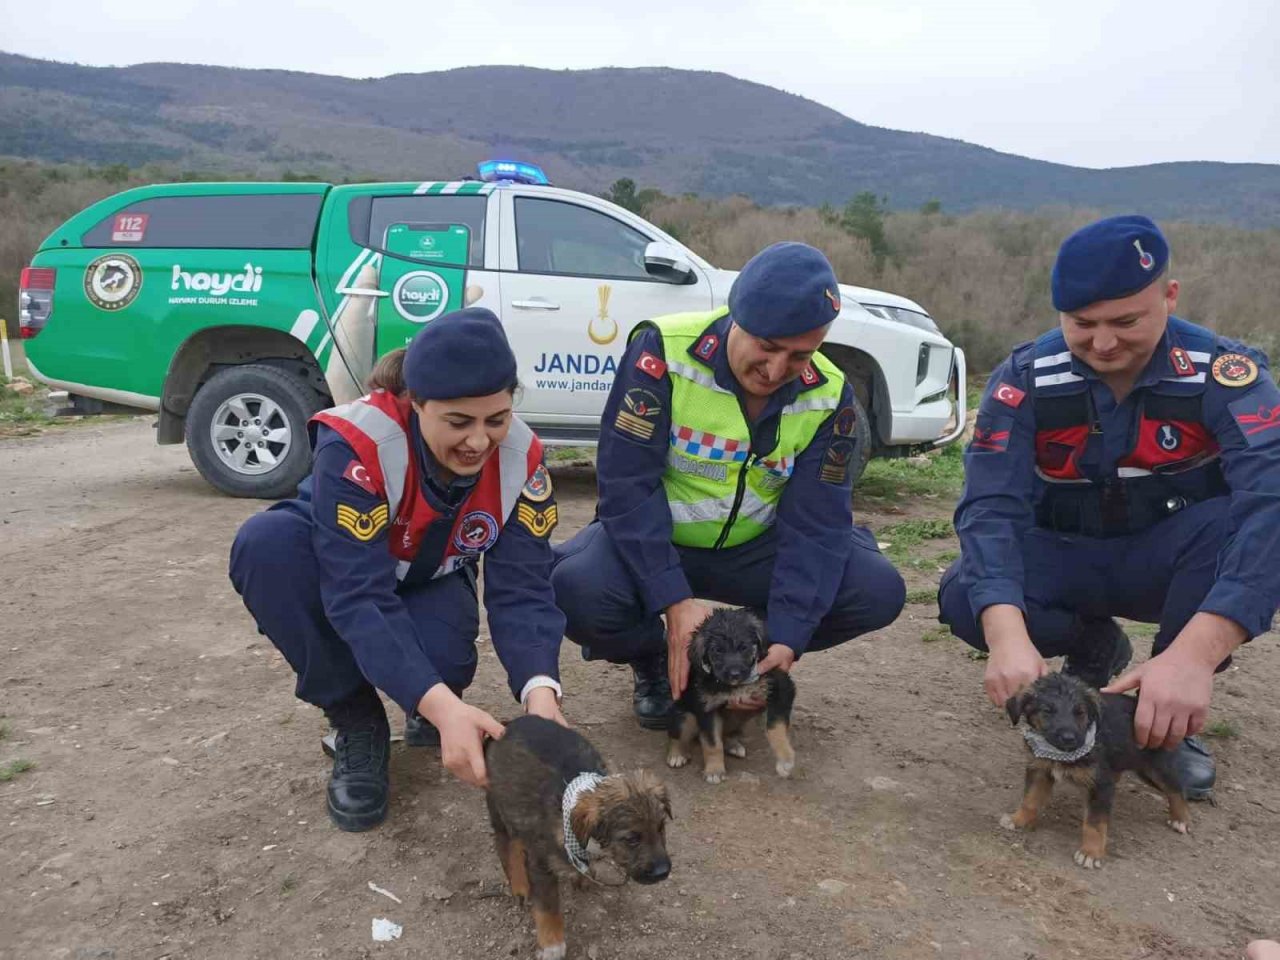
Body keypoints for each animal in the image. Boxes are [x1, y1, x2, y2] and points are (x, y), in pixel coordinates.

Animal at [483, 716, 675, 960]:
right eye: (631, 839)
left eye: (661, 828)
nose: (663, 872)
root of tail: (506, 725)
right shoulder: (541, 863)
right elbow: (547, 908)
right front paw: (552, 945)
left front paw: (583, 876)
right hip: (499, 804)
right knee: (506, 843)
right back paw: (519, 885)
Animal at [665, 611, 793, 783]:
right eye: (717, 650)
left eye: (744, 647)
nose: (734, 674)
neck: (735, 686)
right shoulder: (707, 707)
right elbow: (712, 743)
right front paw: (714, 770)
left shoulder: (781, 688)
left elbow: (775, 726)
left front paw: (785, 760)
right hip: (684, 715)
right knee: (676, 734)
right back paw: (677, 754)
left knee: (728, 734)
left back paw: (733, 745)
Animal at [1003, 670, 1192, 870]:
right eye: (1047, 711)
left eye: (1080, 713)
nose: (1069, 738)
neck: (1061, 753)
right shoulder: (1039, 769)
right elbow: (1030, 799)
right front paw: (1018, 820)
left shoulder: (1100, 784)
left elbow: (1095, 823)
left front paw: (1090, 853)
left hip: (1154, 768)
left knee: (1176, 788)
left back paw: (1181, 819)